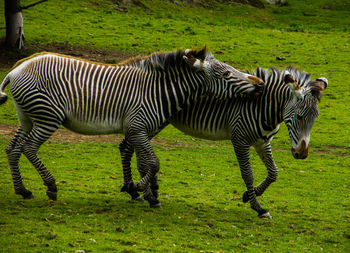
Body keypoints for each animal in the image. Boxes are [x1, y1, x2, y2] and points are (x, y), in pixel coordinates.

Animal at [0, 47, 264, 206]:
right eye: (226, 74)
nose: (260, 83)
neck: (157, 91)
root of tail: (16, 69)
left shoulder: (138, 131)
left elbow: (144, 162)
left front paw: (142, 192)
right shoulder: (137, 127)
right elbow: (153, 163)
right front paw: (140, 189)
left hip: (28, 117)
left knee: (13, 149)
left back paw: (22, 190)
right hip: (48, 117)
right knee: (29, 148)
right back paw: (51, 186)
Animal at [120, 66, 328, 218]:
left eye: (315, 119)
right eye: (300, 117)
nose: (302, 154)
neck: (262, 106)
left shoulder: (262, 142)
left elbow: (273, 172)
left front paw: (249, 195)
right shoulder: (240, 140)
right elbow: (248, 175)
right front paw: (258, 207)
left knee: (130, 149)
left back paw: (144, 192)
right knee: (129, 148)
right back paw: (138, 191)